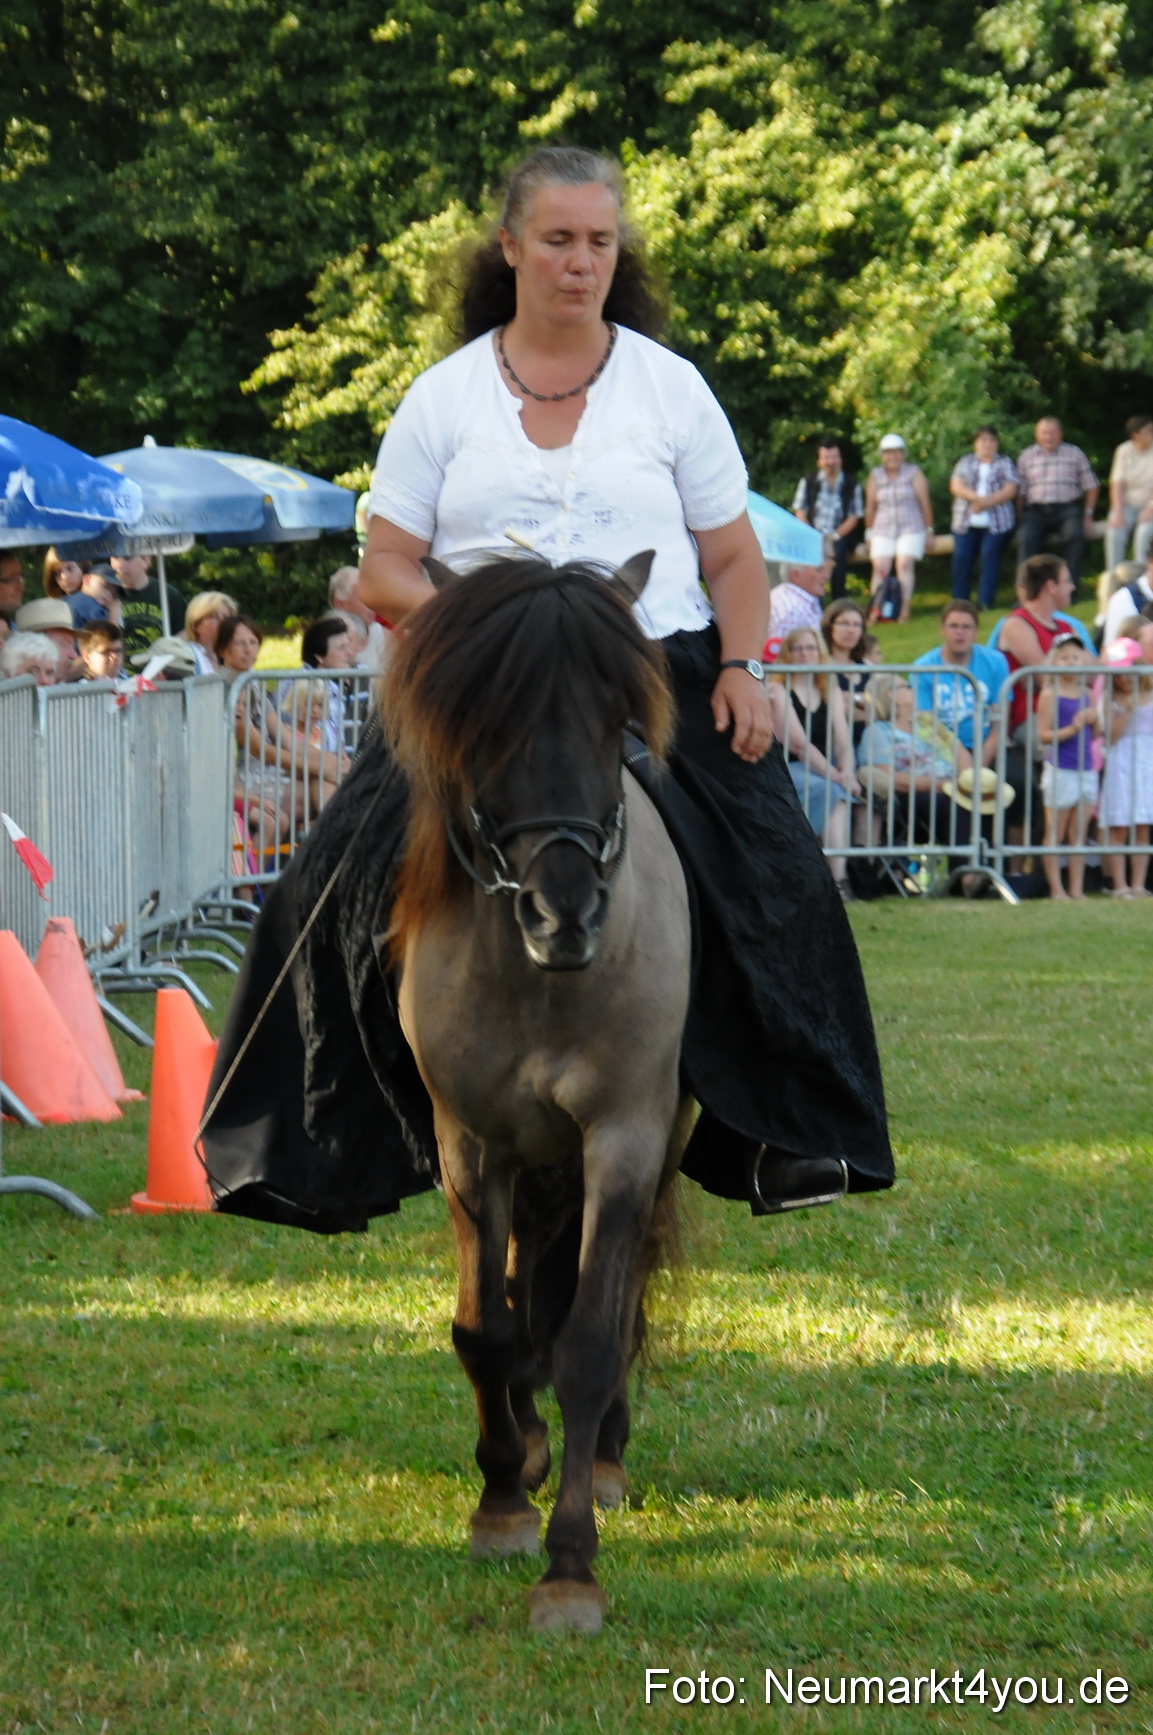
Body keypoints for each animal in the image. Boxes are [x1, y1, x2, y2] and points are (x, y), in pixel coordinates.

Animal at [384, 550, 693, 1634]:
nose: (566, 914)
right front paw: (501, 1503)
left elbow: (590, 1338)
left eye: (616, 723)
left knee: (606, 1298)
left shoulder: (626, 1137)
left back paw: (597, 1458)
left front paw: (569, 1567)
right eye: (486, 726)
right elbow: (487, 1325)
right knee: (520, 1296)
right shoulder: (470, 1139)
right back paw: (524, 1446)